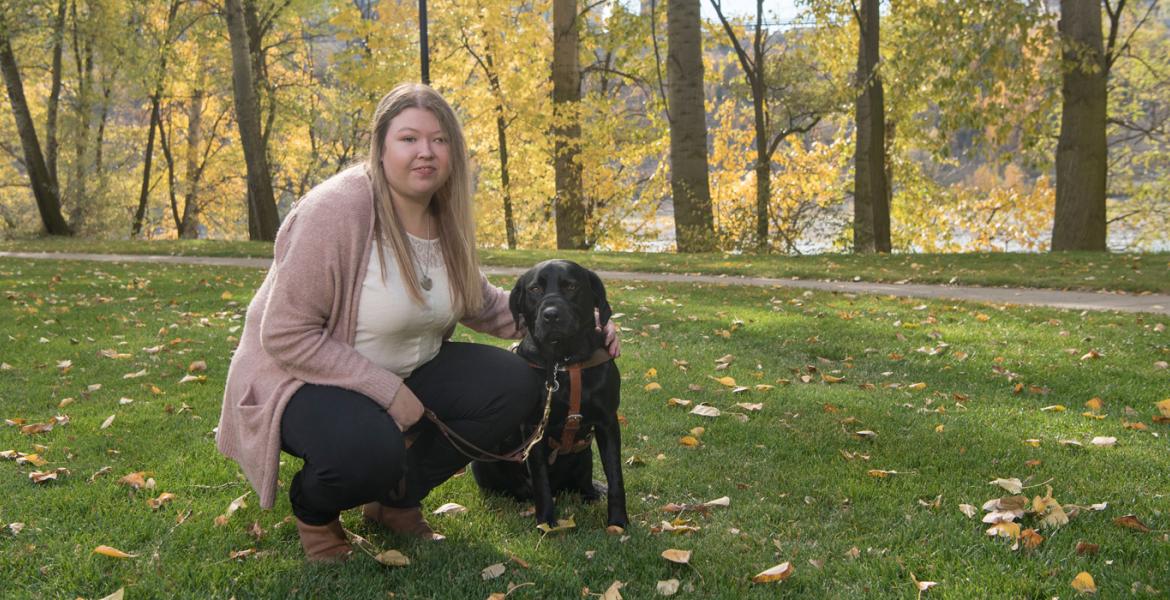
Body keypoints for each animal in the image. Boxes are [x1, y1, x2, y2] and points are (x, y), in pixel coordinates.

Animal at [467, 257, 627, 528]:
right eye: (534, 289)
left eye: (571, 286)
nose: (551, 315)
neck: (564, 363)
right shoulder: (534, 428)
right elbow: (541, 481)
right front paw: (546, 523)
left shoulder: (607, 422)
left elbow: (616, 475)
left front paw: (618, 521)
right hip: (482, 459)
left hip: (584, 456)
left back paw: (591, 493)